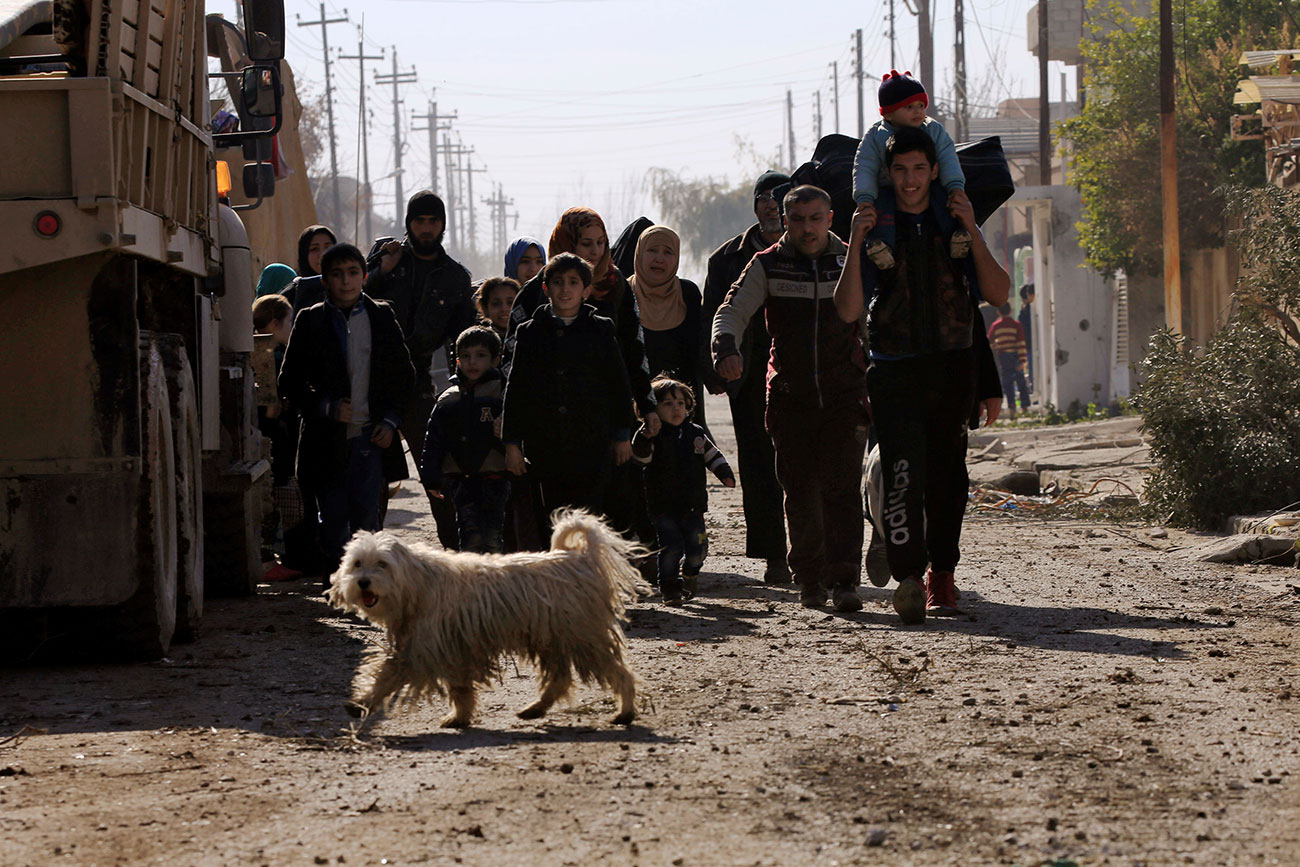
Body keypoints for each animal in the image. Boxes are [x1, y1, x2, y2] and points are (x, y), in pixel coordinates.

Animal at [327, 512, 642, 727]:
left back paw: (625, 711)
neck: (419, 584)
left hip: (584, 636)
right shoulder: (449, 648)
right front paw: (460, 716)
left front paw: (364, 702)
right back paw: (536, 708)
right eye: (357, 563)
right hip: (552, 638)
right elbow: (458, 687)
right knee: (560, 679)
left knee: (619, 672)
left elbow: (389, 675)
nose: (363, 582)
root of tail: (582, 558)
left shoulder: (423, 649)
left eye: (382, 564)